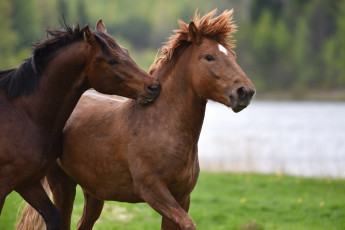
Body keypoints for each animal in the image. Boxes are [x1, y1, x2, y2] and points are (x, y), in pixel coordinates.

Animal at [0, 18, 160, 229]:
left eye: (126, 52)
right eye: (112, 60)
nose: (153, 86)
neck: (24, 113)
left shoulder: (27, 182)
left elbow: (54, 216)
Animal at [20, 9, 254, 229]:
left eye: (233, 55)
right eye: (209, 57)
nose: (246, 92)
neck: (161, 126)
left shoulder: (181, 197)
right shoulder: (153, 191)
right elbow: (189, 223)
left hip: (94, 193)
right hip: (63, 186)